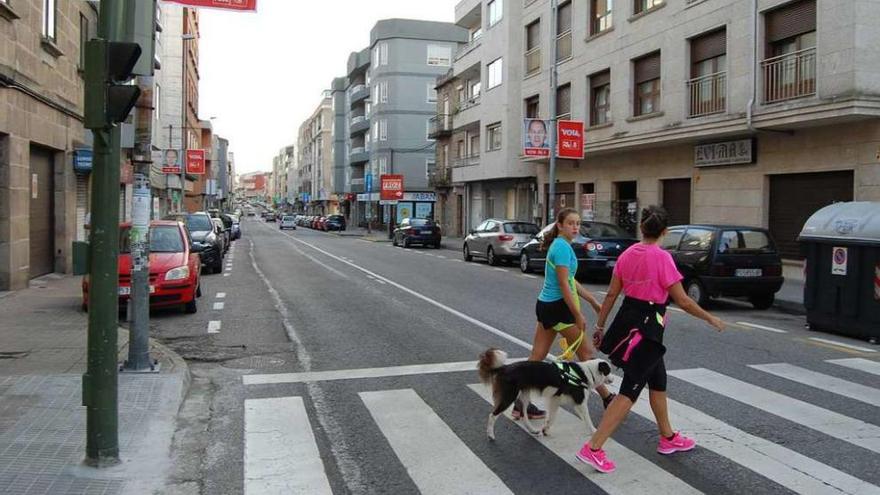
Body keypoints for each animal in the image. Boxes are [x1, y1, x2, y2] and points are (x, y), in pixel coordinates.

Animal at [482, 348, 612, 442]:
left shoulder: (555, 399)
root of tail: (504, 367)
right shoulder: (580, 401)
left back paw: (533, 430)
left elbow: (552, 417)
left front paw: (546, 430)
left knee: (524, 414)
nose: (613, 379)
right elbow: (587, 418)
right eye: (609, 371)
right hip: (509, 396)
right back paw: (490, 435)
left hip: (525, 396)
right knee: (492, 415)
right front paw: (594, 431)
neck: (587, 372)